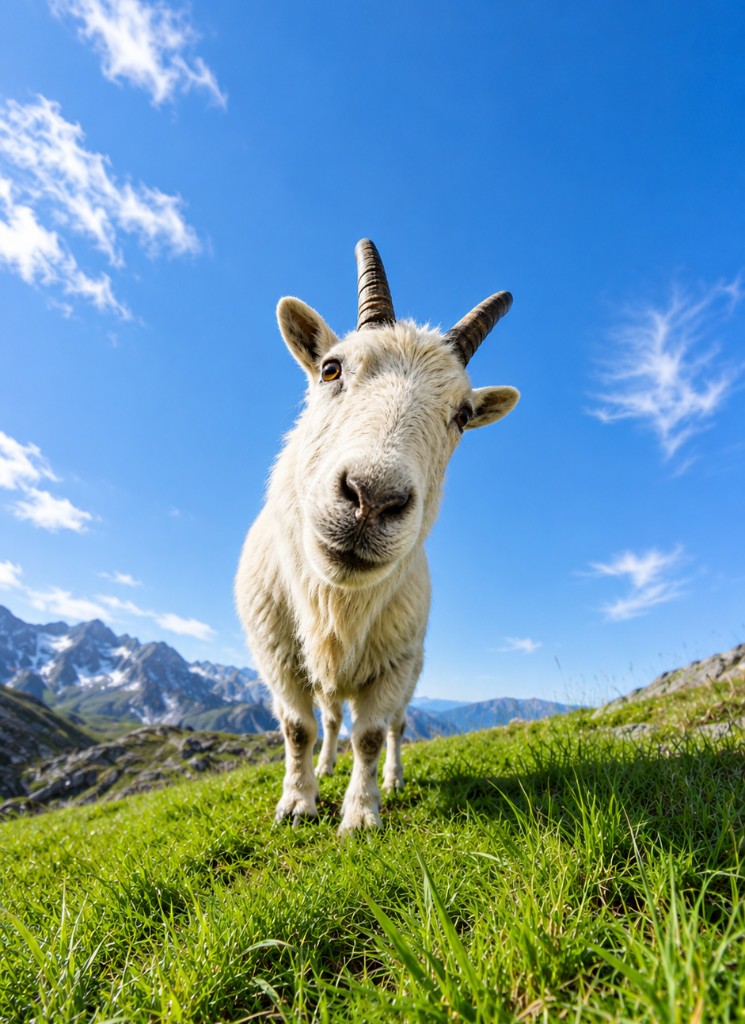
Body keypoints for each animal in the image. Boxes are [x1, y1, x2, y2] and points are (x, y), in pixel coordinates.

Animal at [235, 240, 519, 832]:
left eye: (462, 415)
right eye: (330, 368)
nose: (372, 500)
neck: (336, 601)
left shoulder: (394, 663)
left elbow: (369, 734)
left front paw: (362, 814)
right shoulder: (276, 654)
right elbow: (297, 729)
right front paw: (297, 803)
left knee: (393, 727)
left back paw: (391, 779)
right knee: (328, 720)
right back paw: (324, 766)